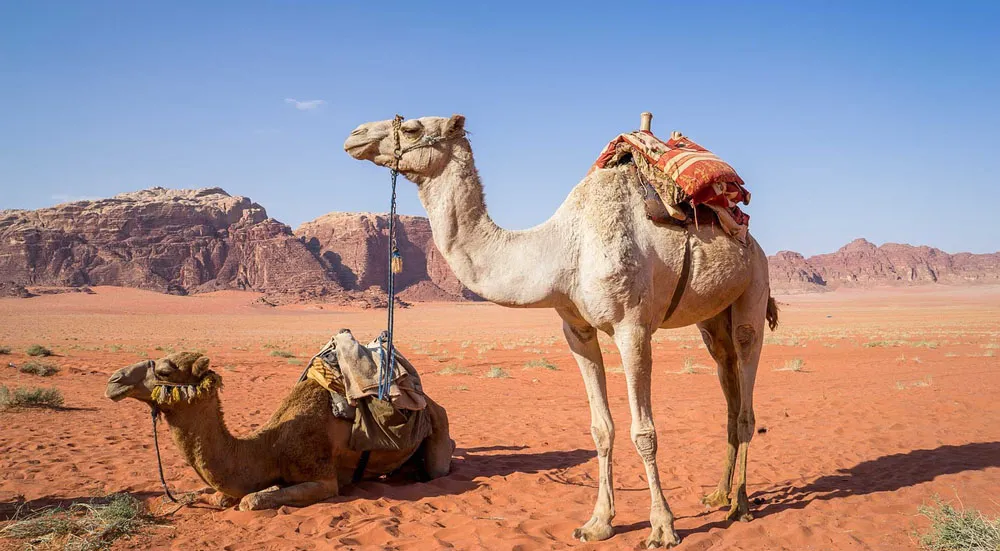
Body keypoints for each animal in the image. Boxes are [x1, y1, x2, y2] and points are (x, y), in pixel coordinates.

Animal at [105, 342, 453, 511]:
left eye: (164, 371)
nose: (114, 381)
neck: (270, 447)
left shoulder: (324, 479)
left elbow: (250, 500)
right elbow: (218, 495)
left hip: (438, 422)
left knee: (439, 464)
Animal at [344, 115, 778, 548]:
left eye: (413, 128)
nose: (355, 136)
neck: (562, 251)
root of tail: (750, 238)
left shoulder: (632, 327)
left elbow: (644, 432)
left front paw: (662, 527)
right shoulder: (577, 330)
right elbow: (601, 429)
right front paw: (598, 523)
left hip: (753, 288)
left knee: (745, 392)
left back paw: (740, 505)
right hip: (712, 318)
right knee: (727, 383)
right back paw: (718, 495)